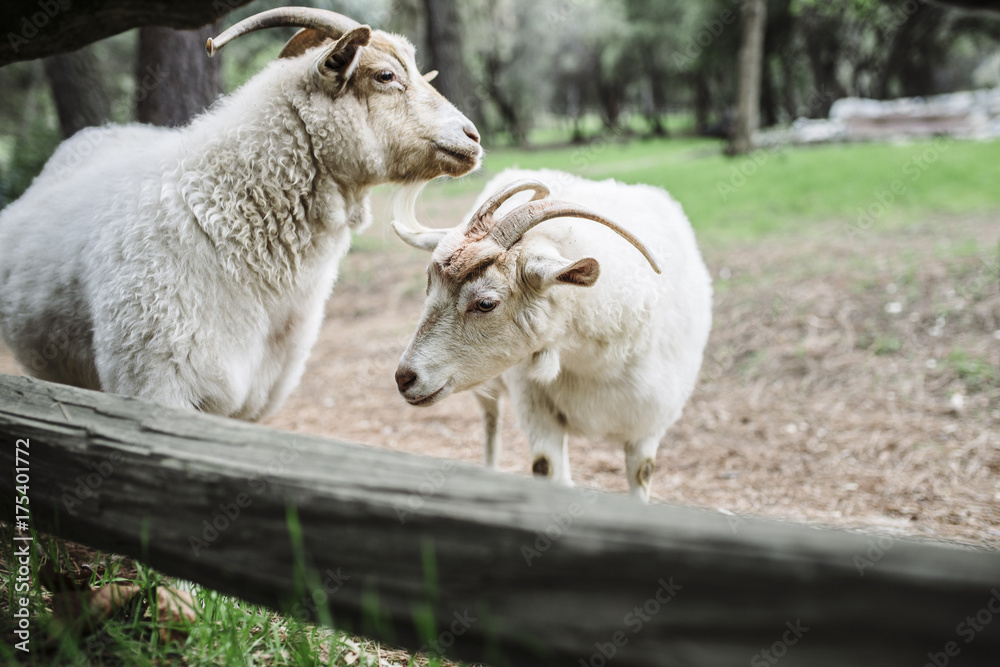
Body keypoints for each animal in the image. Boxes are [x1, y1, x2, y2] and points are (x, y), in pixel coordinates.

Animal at [392, 169, 711, 502]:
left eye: (485, 303)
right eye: (429, 287)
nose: (404, 378)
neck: (599, 364)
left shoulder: (649, 426)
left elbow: (641, 477)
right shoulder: (538, 413)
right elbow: (545, 467)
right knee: (491, 423)